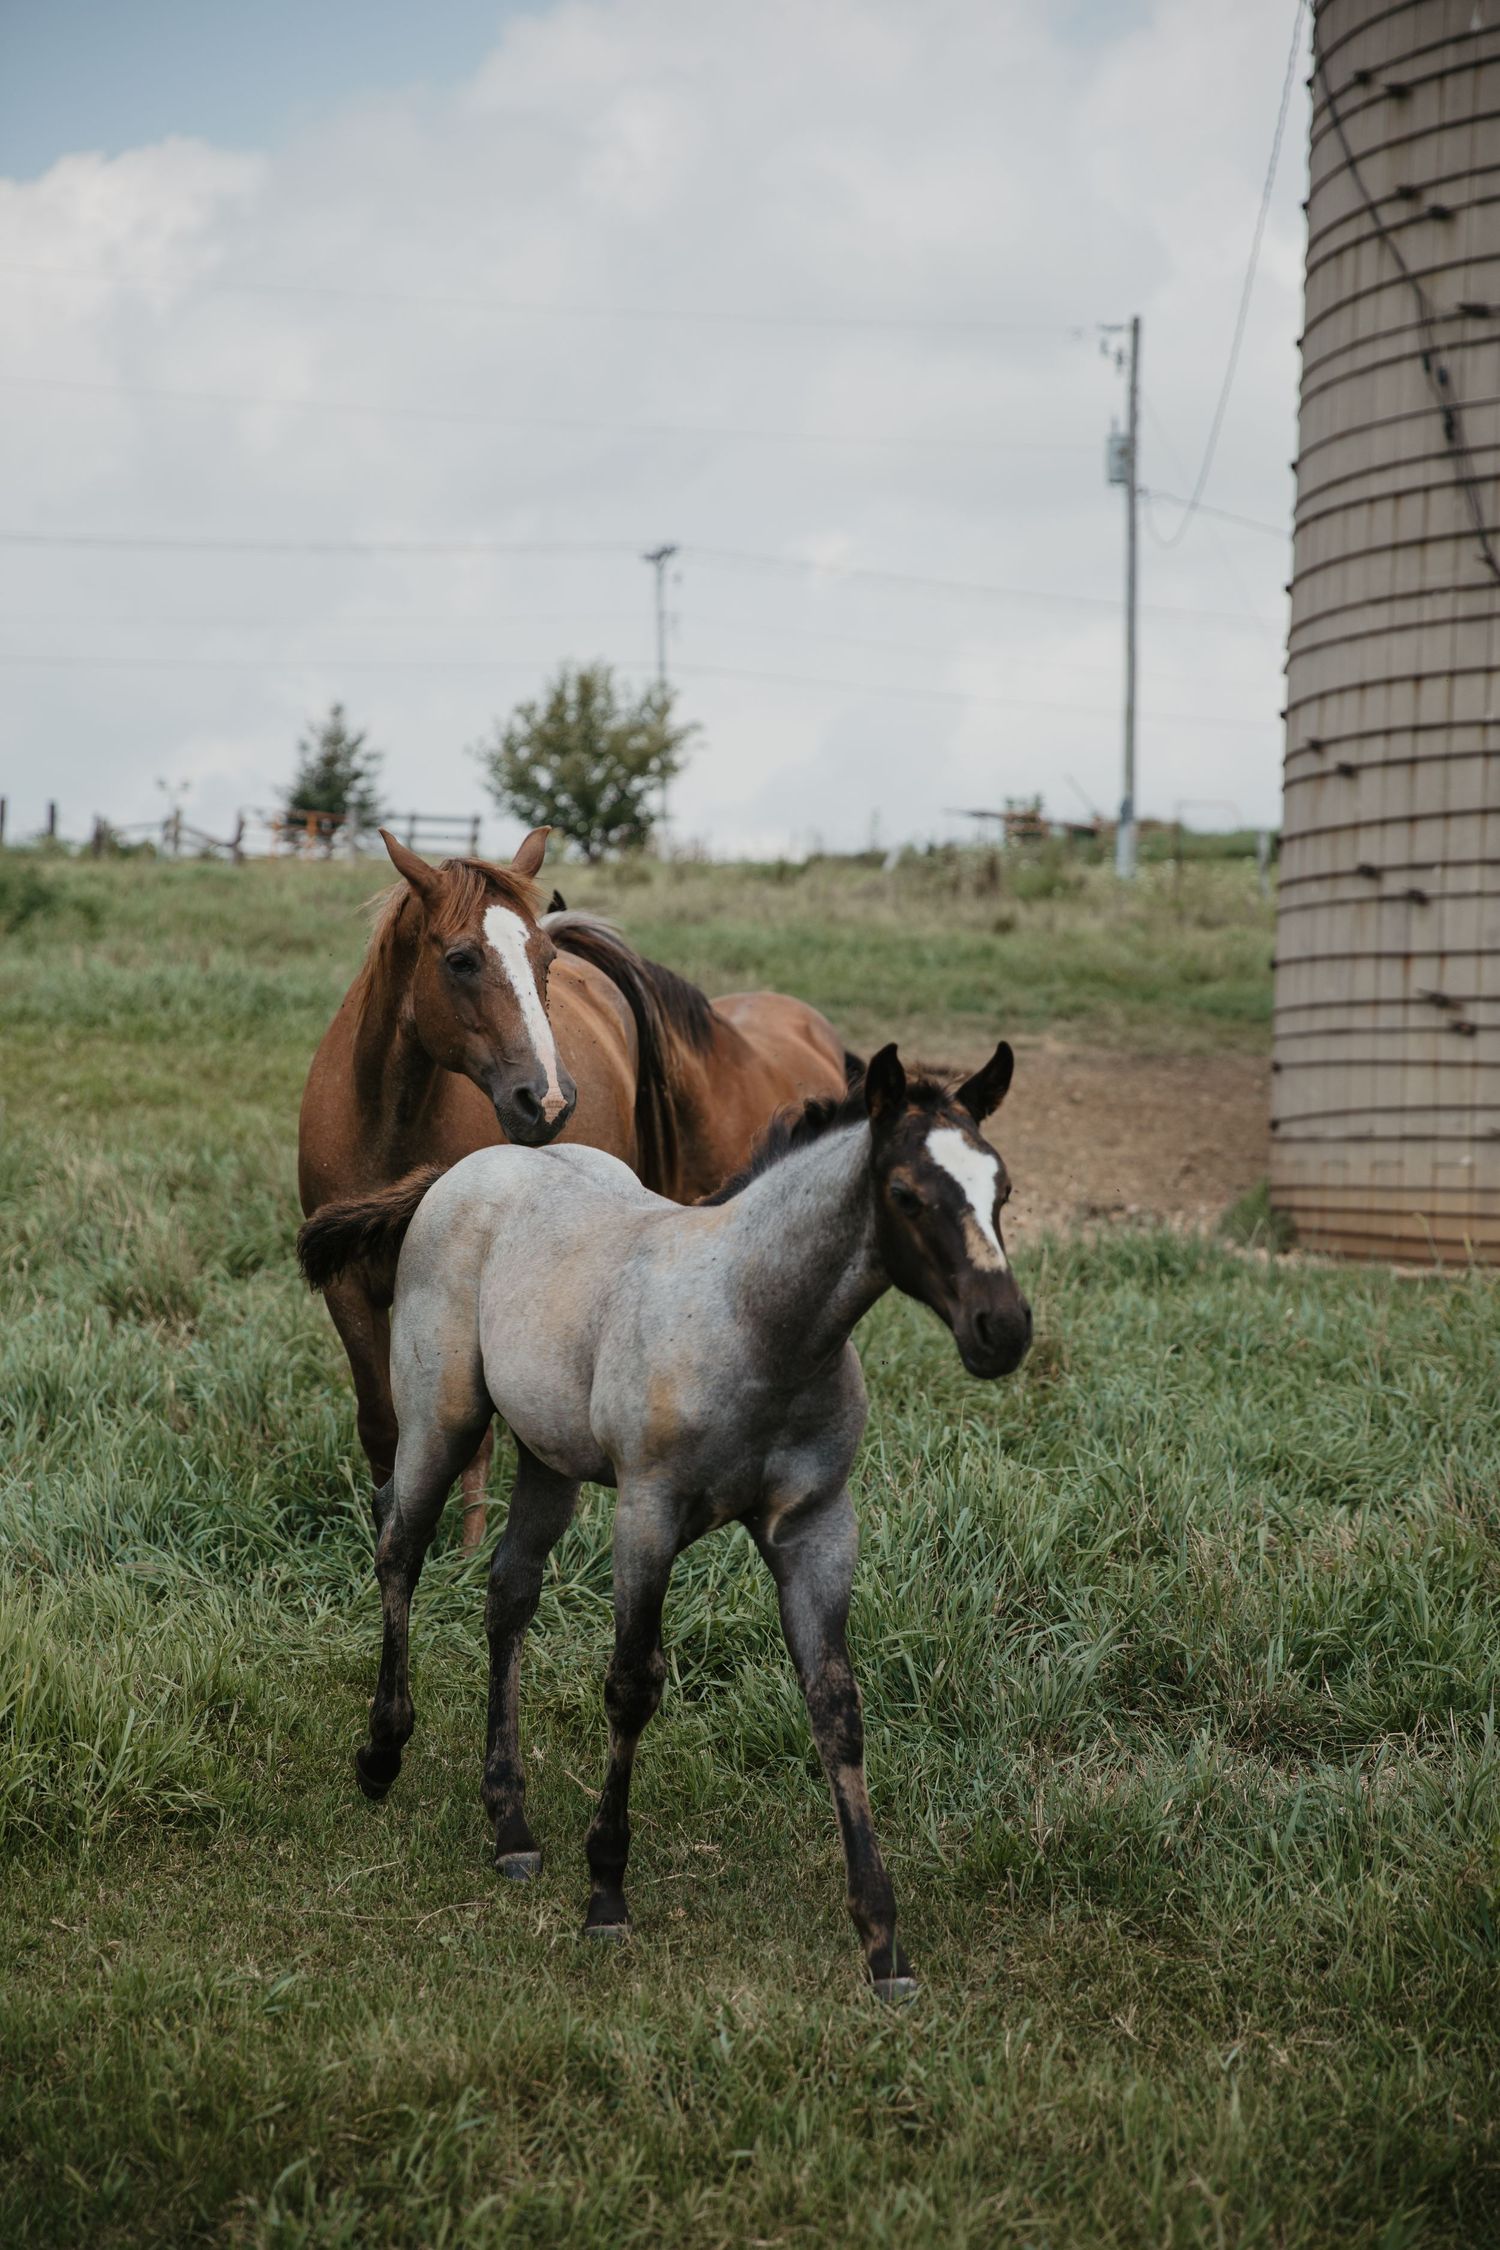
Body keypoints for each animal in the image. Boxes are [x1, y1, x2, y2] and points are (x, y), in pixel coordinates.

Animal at [296, 1038, 1031, 1997]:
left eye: (1002, 1188)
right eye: (907, 1193)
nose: (1003, 1329)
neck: (758, 1328)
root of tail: (464, 1169)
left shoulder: (818, 1530)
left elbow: (838, 1707)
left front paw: (883, 1941)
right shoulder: (648, 1514)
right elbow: (631, 1686)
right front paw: (606, 1893)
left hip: (549, 1457)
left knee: (509, 1592)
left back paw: (510, 1824)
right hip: (441, 1419)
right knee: (400, 1550)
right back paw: (382, 1755)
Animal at [298, 827, 851, 1548]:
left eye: (544, 960)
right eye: (460, 960)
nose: (548, 1100)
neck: (388, 1120)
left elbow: (471, 1442)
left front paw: (468, 1553)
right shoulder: (346, 1288)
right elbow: (380, 1425)